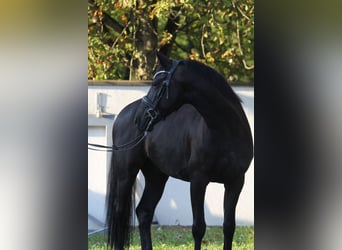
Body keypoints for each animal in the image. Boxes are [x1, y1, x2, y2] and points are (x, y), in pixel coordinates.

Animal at [107, 51, 254, 249]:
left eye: (156, 83)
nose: (140, 118)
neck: (227, 131)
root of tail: (124, 114)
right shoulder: (198, 181)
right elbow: (199, 228)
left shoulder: (236, 182)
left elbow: (229, 227)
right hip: (126, 173)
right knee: (120, 213)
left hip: (156, 176)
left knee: (144, 212)